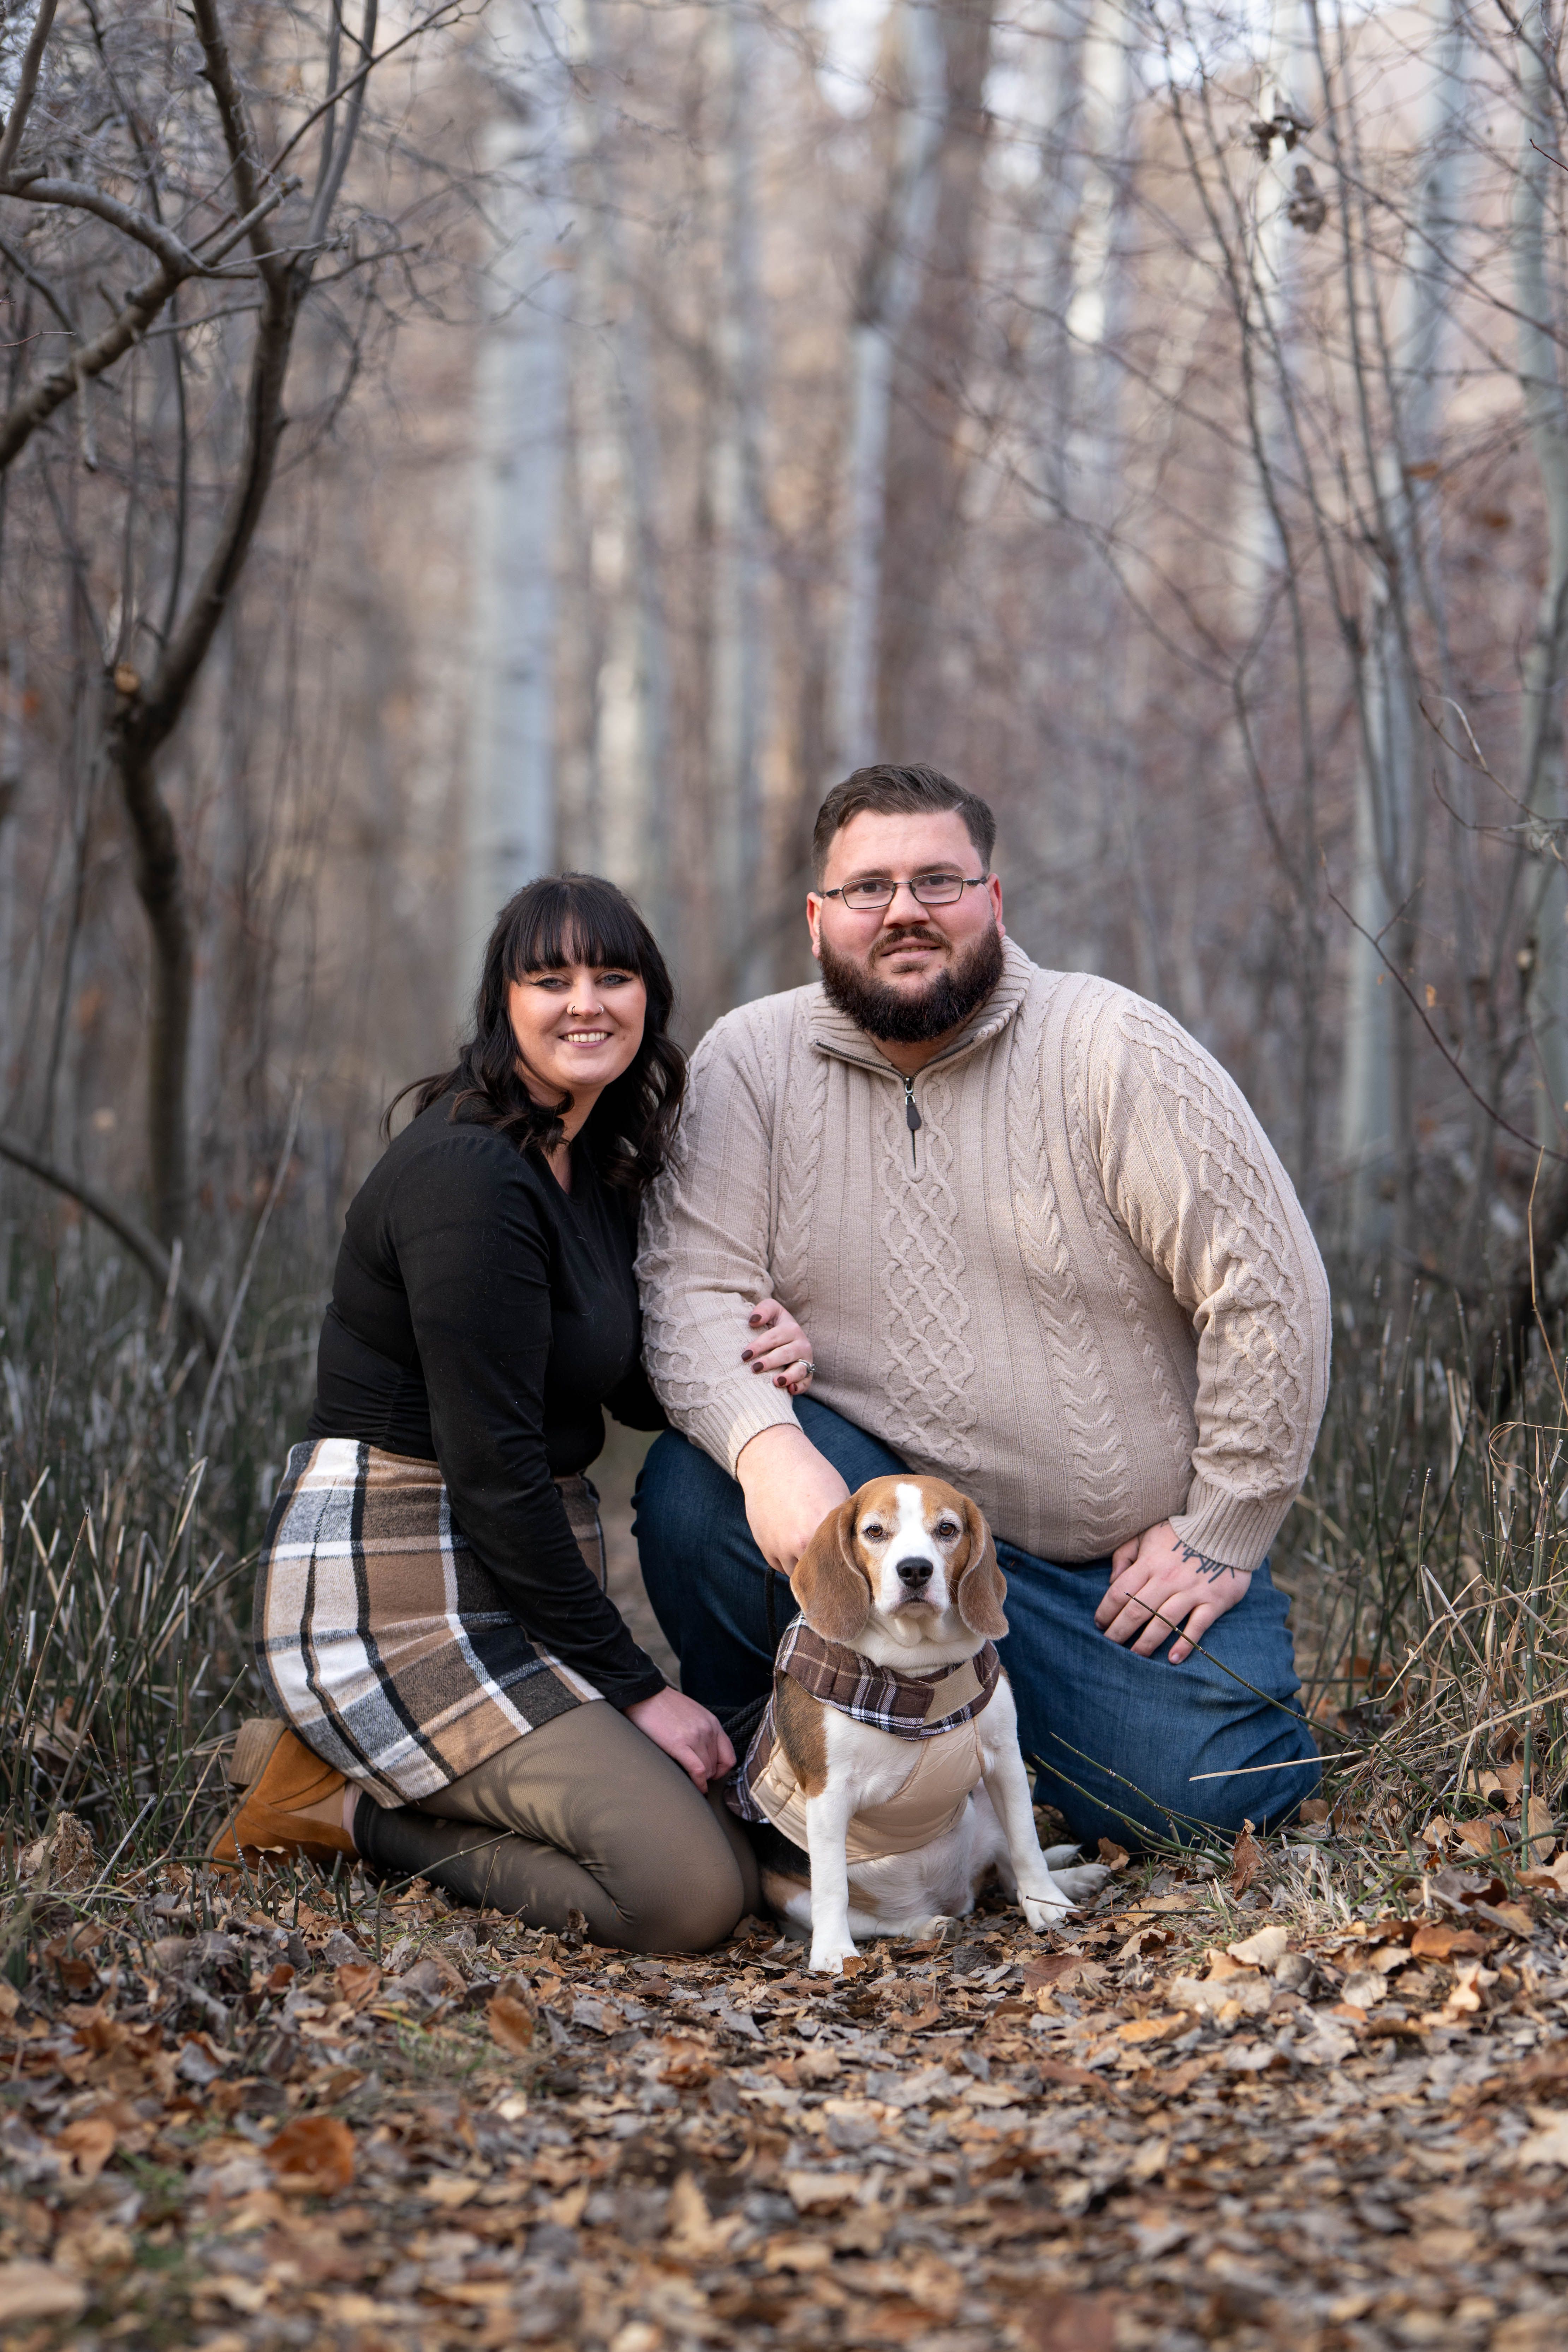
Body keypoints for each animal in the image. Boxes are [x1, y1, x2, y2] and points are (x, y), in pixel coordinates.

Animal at [728, 1474, 1109, 1974]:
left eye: (947, 1529)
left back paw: (1072, 1878)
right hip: (788, 1895)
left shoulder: (1005, 1758)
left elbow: (1026, 1842)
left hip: (981, 1798)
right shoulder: (827, 1793)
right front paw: (832, 1952)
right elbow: (832, 1886)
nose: (914, 1570)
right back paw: (926, 1926)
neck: (917, 1672)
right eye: (874, 1531)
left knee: (1007, 1870)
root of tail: (955, 1895)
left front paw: (1047, 1903)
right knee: (881, 1921)